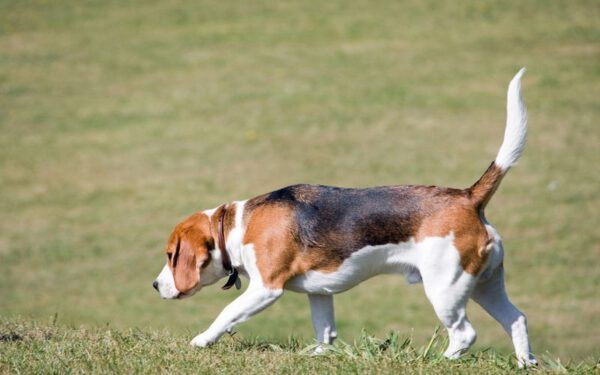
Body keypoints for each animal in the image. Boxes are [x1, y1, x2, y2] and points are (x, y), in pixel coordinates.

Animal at [152, 70, 536, 368]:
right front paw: (319, 355)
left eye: (171, 256)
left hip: (446, 287)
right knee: (516, 319)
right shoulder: (319, 292)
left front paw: (202, 340)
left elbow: (227, 313)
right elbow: (325, 330)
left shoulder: (266, 288)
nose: (155, 285)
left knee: (465, 334)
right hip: (485, 283)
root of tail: (468, 197)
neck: (238, 224)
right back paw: (525, 363)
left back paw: (441, 361)